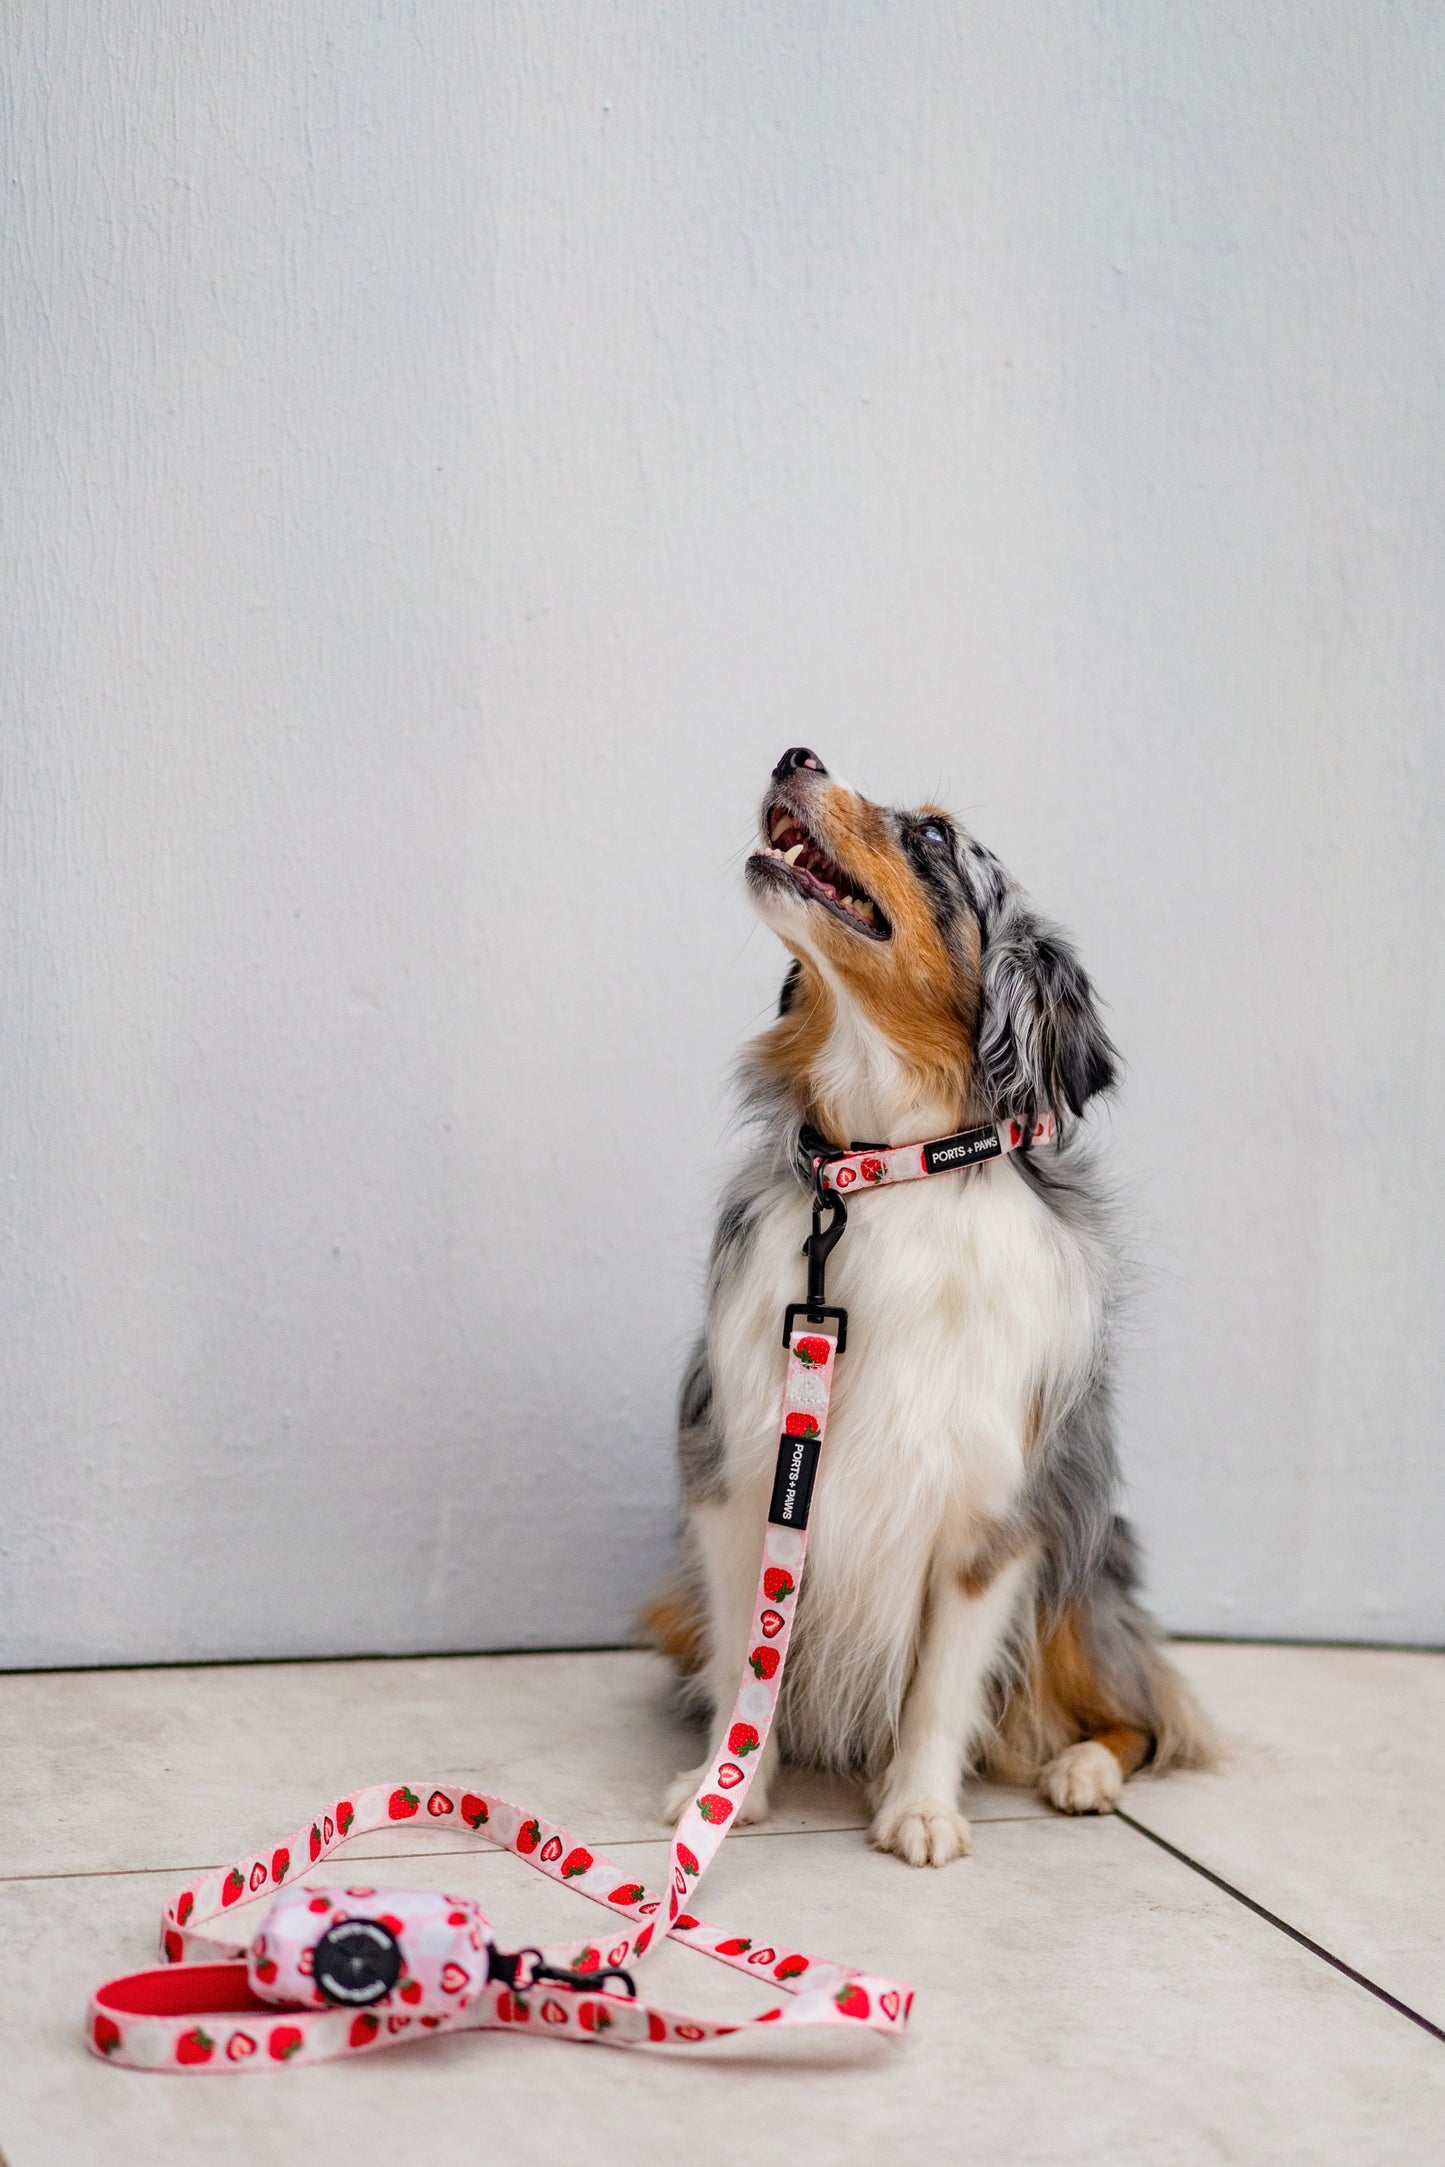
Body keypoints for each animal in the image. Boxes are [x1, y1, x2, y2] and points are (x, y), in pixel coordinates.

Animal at [649, 745, 1213, 1863]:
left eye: (936, 837)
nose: (793, 754)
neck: (883, 1169)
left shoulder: (992, 1516)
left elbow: (942, 1687)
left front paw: (917, 1807)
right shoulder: (740, 1473)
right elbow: (746, 1653)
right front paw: (725, 1788)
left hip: (1083, 1576)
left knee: (1139, 1710)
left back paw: (1081, 1767)